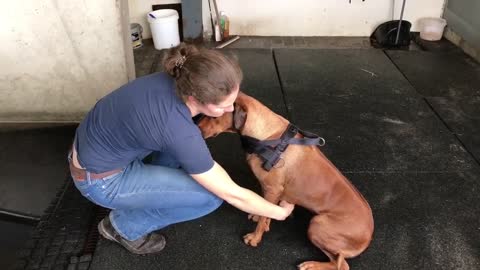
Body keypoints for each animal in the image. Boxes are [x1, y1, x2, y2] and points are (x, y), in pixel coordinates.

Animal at [197, 92, 374, 268]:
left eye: (213, 116)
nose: (196, 130)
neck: (268, 137)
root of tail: (368, 238)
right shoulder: (273, 190)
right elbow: (266, 209)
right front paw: (262, 217)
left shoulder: (273, 188)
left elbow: (263, 218)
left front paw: (255, 237)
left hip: (317, 224)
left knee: (341, 265)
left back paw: (312, 265)